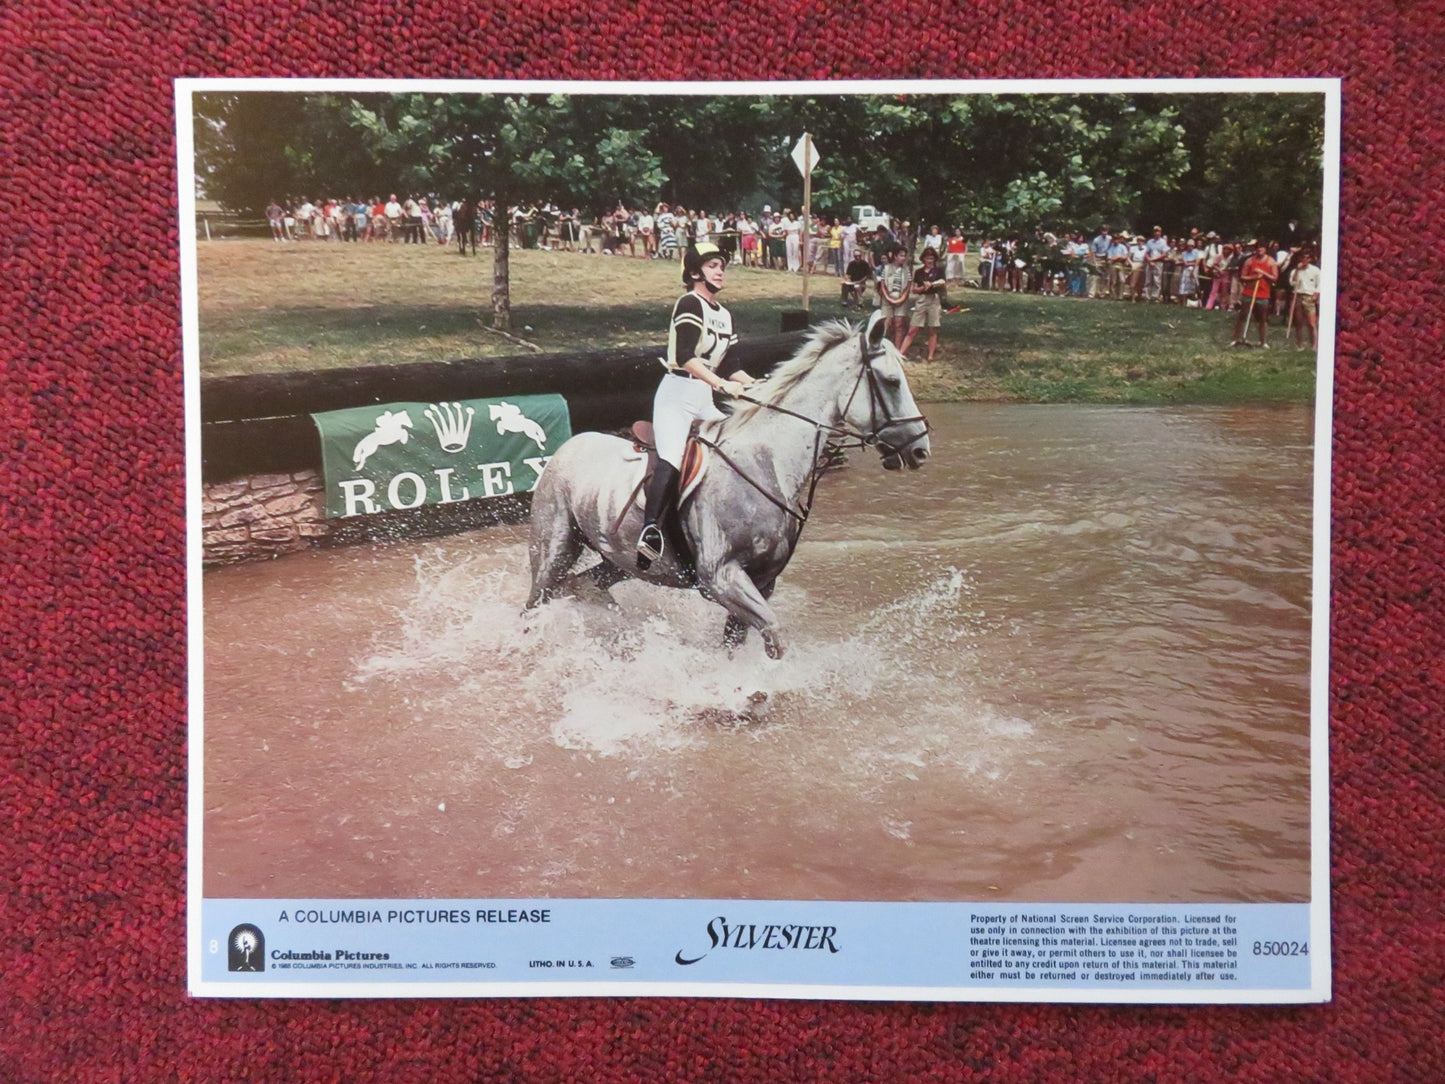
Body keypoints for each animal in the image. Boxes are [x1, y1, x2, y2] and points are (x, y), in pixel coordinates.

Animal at [525, 309, 930, 659]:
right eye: (892, 382)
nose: (921, 448)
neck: (767, 462)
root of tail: (566, 447)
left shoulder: (760, 581)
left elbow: (739, 643)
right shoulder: (721, 577)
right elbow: (773, 634)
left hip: (618, 560)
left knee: (581, 586)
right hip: (554, 550)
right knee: (535, 602)